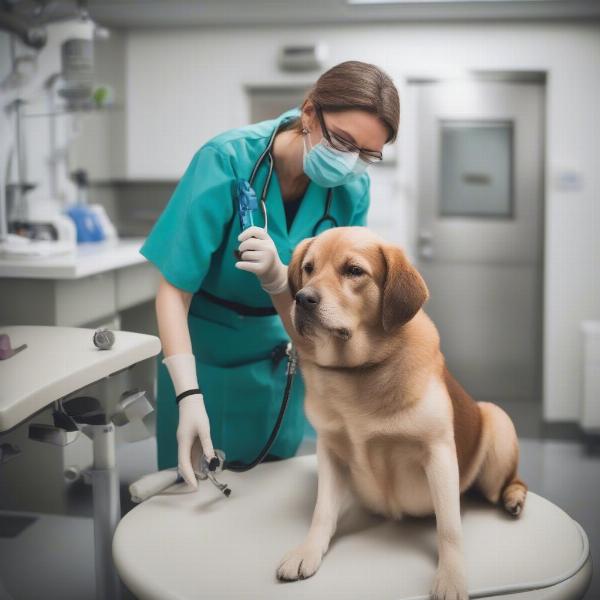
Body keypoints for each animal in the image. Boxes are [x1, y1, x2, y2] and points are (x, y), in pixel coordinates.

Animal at [274, 226, 528, 600]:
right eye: (308, 268)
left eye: (353, 271)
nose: (303, 299)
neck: (358, 370)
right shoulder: (329, 449)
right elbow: (322, 512)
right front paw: (307, 551)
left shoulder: (438, 453)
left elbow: (449, 528)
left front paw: (451, 576)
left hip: (496, 420)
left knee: (511, 482)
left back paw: (513, 499)